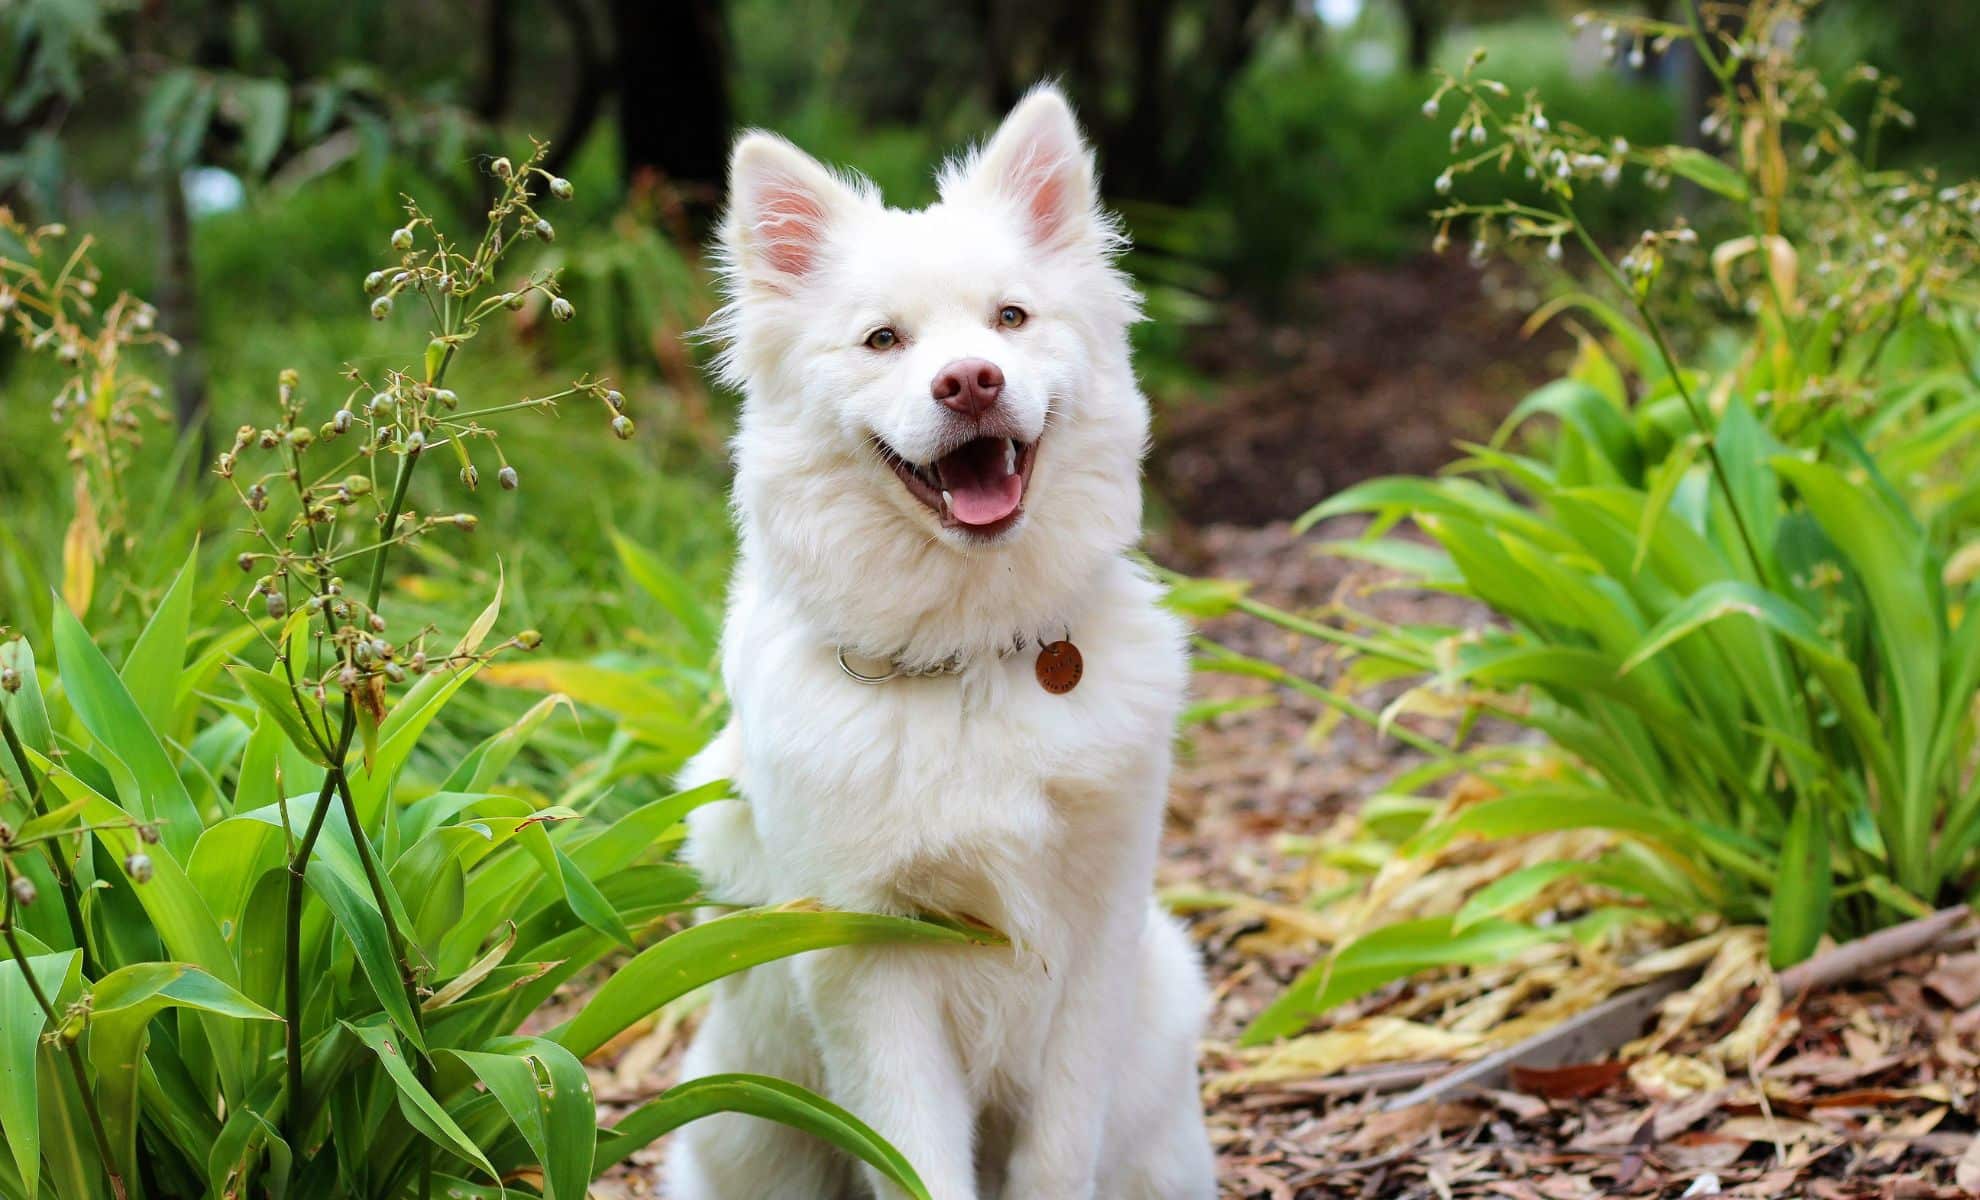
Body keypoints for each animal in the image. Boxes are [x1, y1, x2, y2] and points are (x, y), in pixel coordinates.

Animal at [665, 87, 1211, 1200]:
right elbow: (916, 1155)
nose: (968, 381)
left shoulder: (1094, 941)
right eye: (883, 340)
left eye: (1011, 318)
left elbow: (1057, 1155)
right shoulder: (871, 962)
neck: (972, 657)